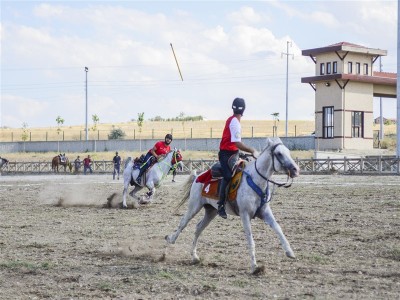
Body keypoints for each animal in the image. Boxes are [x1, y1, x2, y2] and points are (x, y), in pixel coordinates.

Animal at [166, 138, 300, 274]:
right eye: (279, 154)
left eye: (288, 152)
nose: (295, 169)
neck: (255, 180)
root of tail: (197, 177)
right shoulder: (245, 215)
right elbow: (250, 239)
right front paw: (254, 266)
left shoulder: (265, 212)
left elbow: (278, 228)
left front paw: (289, 252)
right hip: (194, 206)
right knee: (183, 223)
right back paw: (171, 240)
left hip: (211, 211)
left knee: (198, 228)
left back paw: (194, 257)